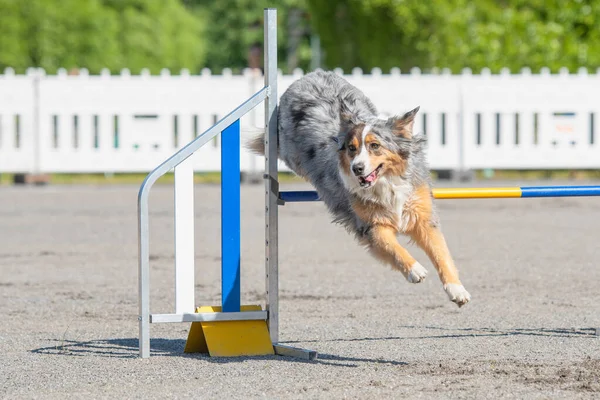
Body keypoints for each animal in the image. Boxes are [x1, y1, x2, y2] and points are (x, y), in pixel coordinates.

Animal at [246, 69, 472, 306]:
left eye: (375, 146)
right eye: (351, 148)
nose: (357, 168)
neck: (387, 182)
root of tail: (311, 75)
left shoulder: (422, 215)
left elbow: (441, 253)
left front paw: (457, 290)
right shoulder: (369, 224)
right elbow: (391, 246)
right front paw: (415, 270)